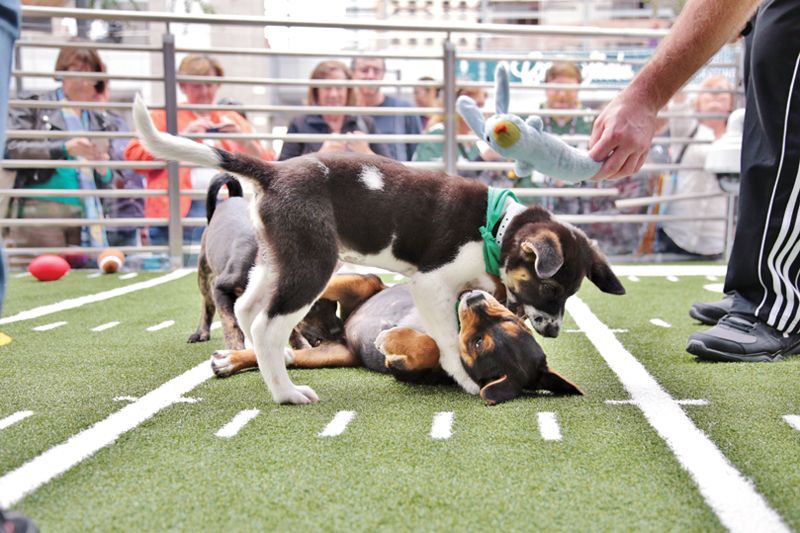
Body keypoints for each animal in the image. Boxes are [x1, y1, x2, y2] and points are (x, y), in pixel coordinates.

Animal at [209, 274, 580, 404]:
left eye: (478, 343)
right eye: (509, 319)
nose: (473, 299)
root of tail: (340, 333)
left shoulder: (406, 370)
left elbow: (429, 348)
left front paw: (393, 338)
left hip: (333, 354)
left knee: (281, 354)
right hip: (364, 285)